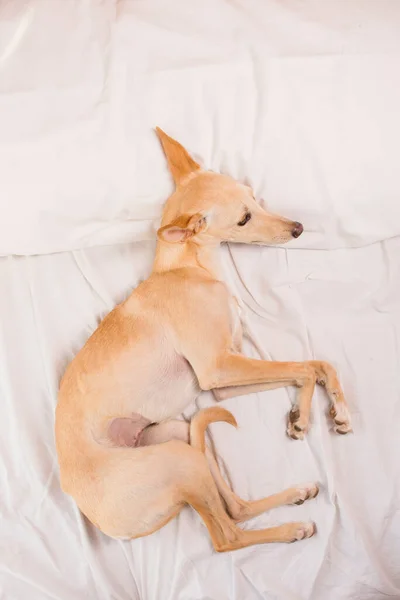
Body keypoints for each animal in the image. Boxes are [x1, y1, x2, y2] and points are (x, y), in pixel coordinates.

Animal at [54, 131, 352, 552]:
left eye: (253, 196)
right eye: (244, 218)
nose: (298, 228)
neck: (189, 268)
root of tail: (97, 519)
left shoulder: (224, 381)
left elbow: (314, 365)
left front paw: (337, 410)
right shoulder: (218, 369)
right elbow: (304, 369)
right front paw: (303, 418)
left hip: (180, 437)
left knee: (236, 508)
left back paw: (295, 495)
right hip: (180, 462)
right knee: (226, 536)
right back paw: (291, 529)